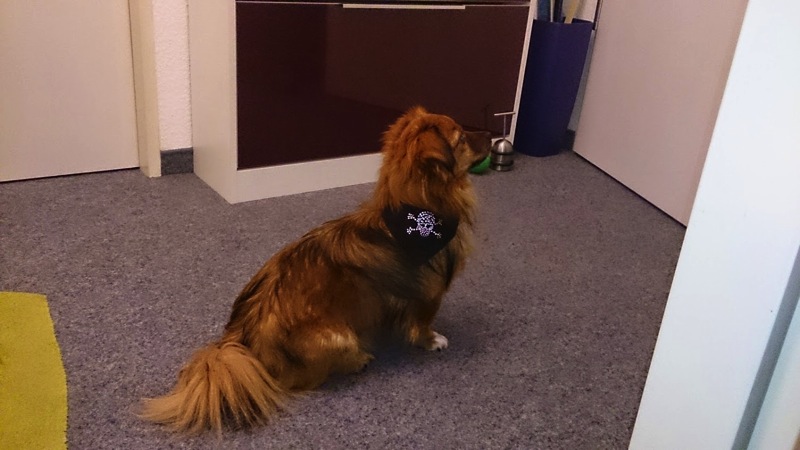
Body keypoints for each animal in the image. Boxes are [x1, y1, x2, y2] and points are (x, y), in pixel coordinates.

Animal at [140, 107, 491, 433]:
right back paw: (358, 361)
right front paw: (432, 340)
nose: (491, 131)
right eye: (461, 138)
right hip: (340, 337)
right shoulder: (429, 295)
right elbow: (422, 325)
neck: (417, 215)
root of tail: (240, 341)